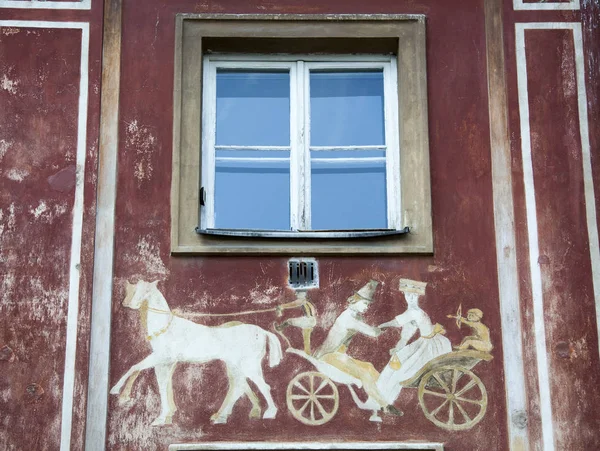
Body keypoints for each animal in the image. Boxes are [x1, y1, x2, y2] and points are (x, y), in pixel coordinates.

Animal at [109, 280, 282, 426]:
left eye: (145, 290)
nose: (127, 303)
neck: (166, 328)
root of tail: (263, 331)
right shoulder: (164, 363)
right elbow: (162, 385)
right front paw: (162, 418)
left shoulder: (160, 357)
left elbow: (134, 367)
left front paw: (116, 390)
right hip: (235, 366)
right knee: (238, 386)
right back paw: (221, 417)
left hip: (249, 365)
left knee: (261, 385)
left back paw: (270, 413)